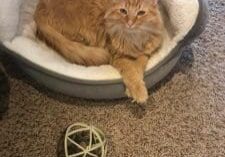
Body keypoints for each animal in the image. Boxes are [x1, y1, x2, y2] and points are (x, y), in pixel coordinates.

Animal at [34, 0, 163, 103]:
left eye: (141, 13)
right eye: (123, 11)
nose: (130, 23)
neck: (134, 39)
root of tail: (39, 9)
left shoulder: (145, 53)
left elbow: (139, 68)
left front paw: (134, 89)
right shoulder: (116, 55)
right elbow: (131, 72)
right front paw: (138, 92)